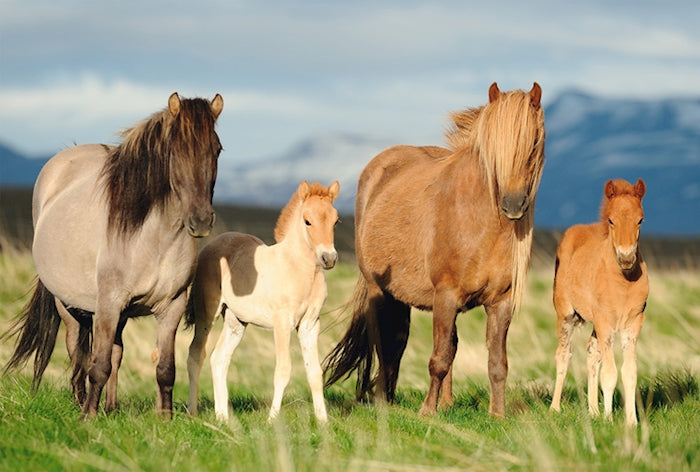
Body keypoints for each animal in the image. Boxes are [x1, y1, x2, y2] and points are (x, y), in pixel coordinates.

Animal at [1, 92, 223, 416]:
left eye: (217, 149)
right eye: (175, 151)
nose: (201, 220)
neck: (154, 239)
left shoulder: (171, 307)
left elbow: (165, 369)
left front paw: (165, 418)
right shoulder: (108, 305)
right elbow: (98, 365)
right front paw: (88, 418)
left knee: (115, 353)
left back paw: (111, 407)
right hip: (69, 307)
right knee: (78, 353)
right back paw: (82, 402)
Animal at [322, 82, 548, 416]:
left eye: (533, 143)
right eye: (493, 147)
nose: (513, 205)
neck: (481, 223)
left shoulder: (501, 302)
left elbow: (496, 362)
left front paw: (497, 414)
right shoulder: (445, 297)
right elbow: (438, 359)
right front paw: (427, 412)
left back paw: (442, 401)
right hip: (381, 292)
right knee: (388, 343)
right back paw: (383, 400)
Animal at [552, 179, 652, 426]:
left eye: (640, 220)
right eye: (611, 220)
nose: (626, 258)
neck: (622, 284)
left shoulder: (633, 323)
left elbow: (629, 372)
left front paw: (631, 422)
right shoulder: (605, 322)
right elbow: (610, 373)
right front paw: (609, 420)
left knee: (591, 352)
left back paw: (593, 411)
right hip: (566, 315)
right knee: (563, 354)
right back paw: (555, 408)